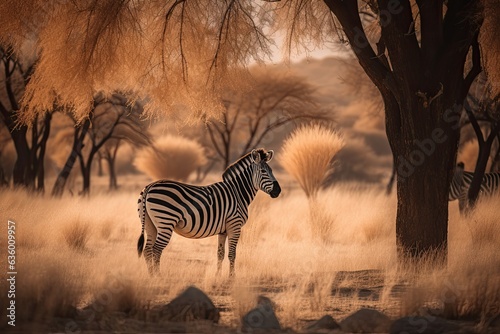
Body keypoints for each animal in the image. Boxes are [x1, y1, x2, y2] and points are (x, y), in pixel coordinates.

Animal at [136, 149, 282, 276]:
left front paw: (218, 276)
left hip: (150, 224)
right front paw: (231, 278)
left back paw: (151, 277)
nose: (278, 191)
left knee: (147, 250)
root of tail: (150, 186)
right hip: (165, 222)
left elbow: (220, 254)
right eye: (263, 171)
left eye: (271, 170)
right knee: (156, 250)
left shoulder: (223, 230)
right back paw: (158, 277)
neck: (237, 192)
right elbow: (232, 254)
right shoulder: (234, 225)